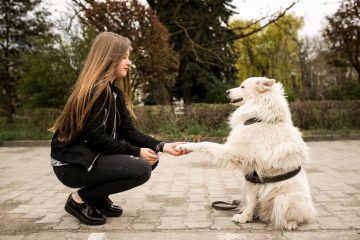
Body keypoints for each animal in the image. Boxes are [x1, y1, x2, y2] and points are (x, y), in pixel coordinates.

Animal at [177, 77, 316, 231]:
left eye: (242, 87)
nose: (227, 92)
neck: (259, 118)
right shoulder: (251, 178)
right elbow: (250, 202)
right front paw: (245, 218)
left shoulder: (236, 153)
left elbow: (206, 144)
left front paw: (185, 145)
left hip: (283, 199)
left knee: (294, 217)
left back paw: (290, 223)